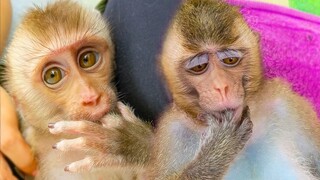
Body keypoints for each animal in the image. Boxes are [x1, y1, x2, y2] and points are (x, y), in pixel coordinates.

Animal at [154, 0, 320, 179]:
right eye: (199, 66)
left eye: (230, 60)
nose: (221, 87)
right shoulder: (173, 132)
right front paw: (219, 147)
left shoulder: (287, 105)